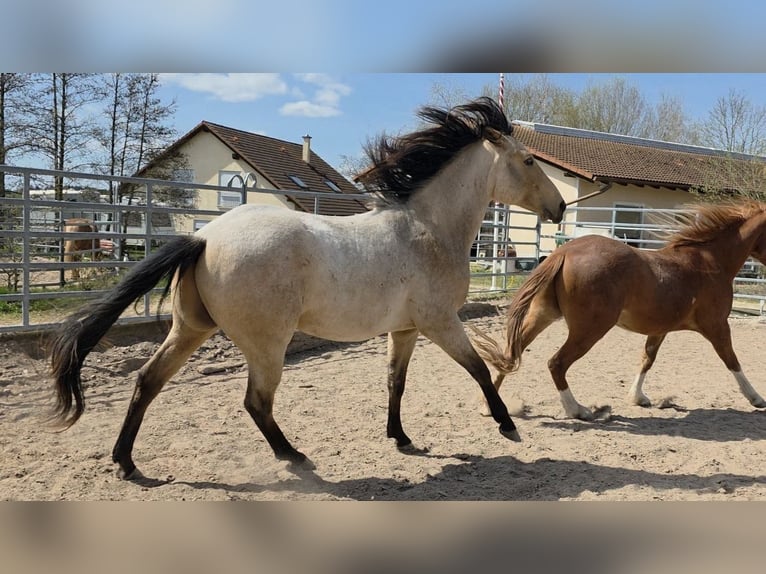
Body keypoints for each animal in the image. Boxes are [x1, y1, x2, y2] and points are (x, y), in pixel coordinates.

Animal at [48, 97, 566, 480]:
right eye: (527, 160)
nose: (560, 207)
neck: (428, 229)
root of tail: (205, 236)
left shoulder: (405, 329)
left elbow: (395, 382)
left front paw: (400, 438)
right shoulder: (440, 322)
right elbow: (478, 369)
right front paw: (507, 426)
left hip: (190, 328)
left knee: (147, 381)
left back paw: (126, 463)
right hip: (266, 343)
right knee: (255, 402)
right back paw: (292, 455)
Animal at [472, 200, 766, 420]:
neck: (711, 262)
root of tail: (562, 253)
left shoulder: (660, 329)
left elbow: (647, 359)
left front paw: (638, 397)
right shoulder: (717, 325)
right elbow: (732, 360)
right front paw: (757, 398)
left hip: (542, 315)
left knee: (510, 354)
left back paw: (490, 408)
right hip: (589, 329)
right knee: (556, 363)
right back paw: (577, 410)